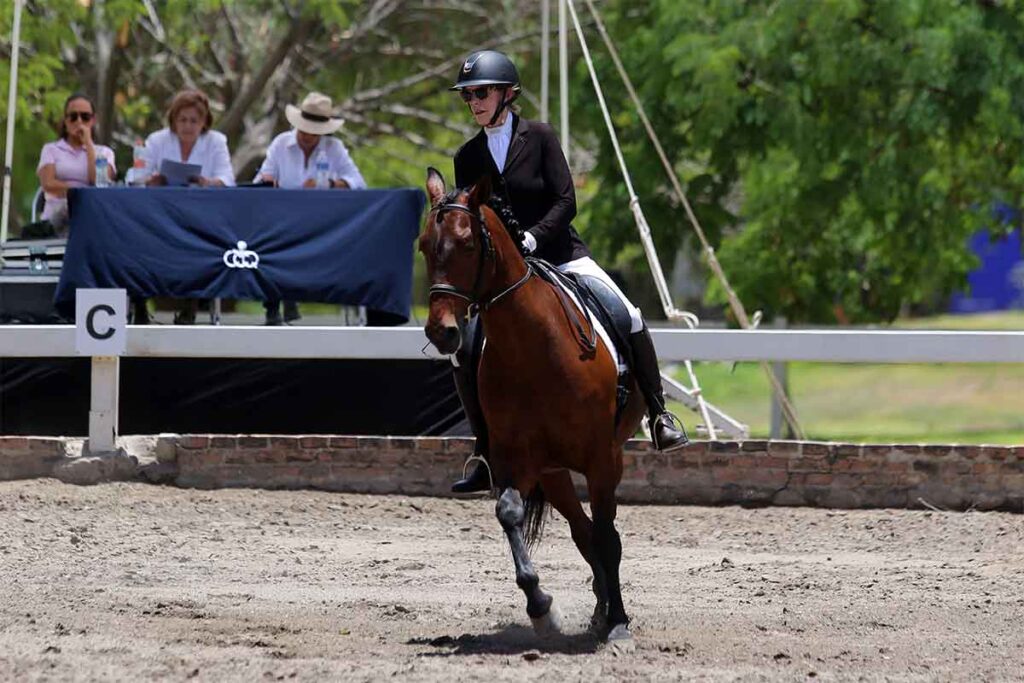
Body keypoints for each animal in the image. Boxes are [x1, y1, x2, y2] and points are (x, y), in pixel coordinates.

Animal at [419, 167, 646, 647]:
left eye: (467, 244)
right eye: (425, 245)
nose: (442, 332)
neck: (534, 347)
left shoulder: (602, 459)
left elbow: (609, 538)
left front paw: (619, 624)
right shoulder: (514, 457)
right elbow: (510, 513)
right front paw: (542, 608)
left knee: (600, 535)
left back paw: (609, 615)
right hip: (553, 472)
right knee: (582, 533)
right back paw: (597, 612)